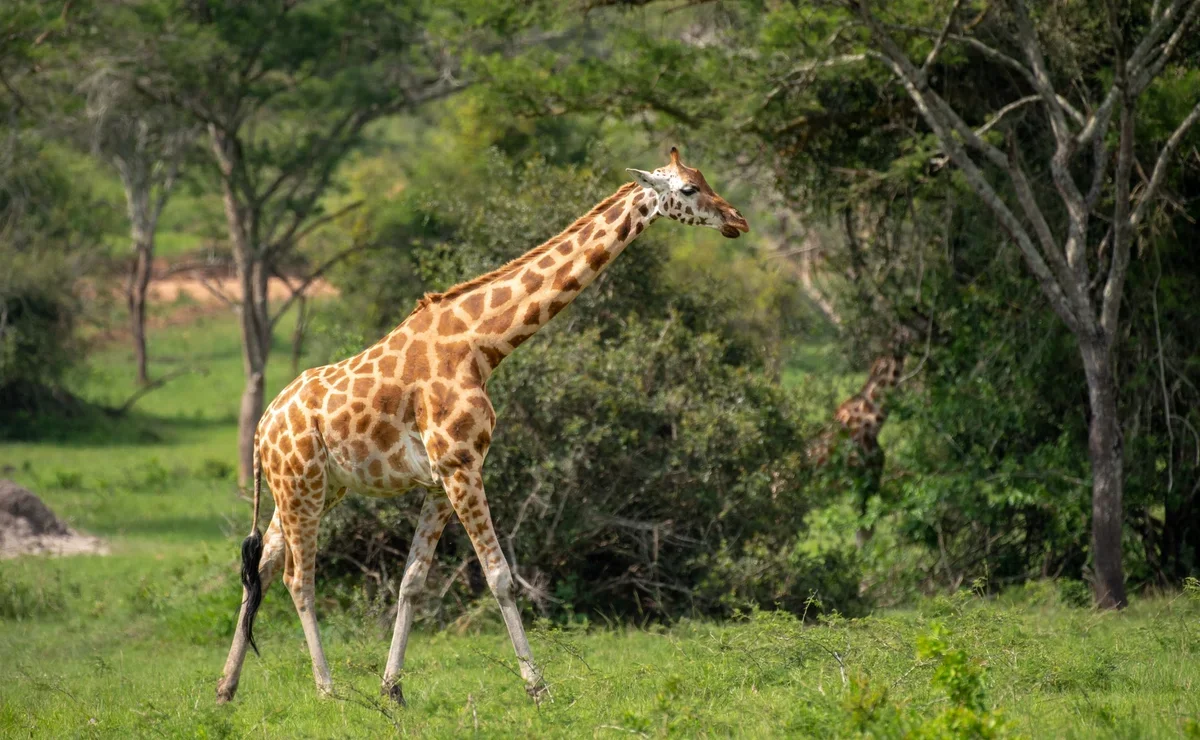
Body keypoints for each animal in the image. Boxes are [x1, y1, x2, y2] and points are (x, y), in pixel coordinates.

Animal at [213, 145, 739, 705]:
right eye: (687, 189)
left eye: (703, 178)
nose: (737, 220)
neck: (482, 345)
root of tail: (261, 428)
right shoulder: (461, 464)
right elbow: (500, 575)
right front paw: (537, 687)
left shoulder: (441, 479)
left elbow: (413, 581)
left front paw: (393, 689)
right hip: (301, 487)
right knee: (298, 577)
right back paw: (328, 690)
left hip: (312, 487)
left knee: (262, 566)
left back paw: (225, 689)